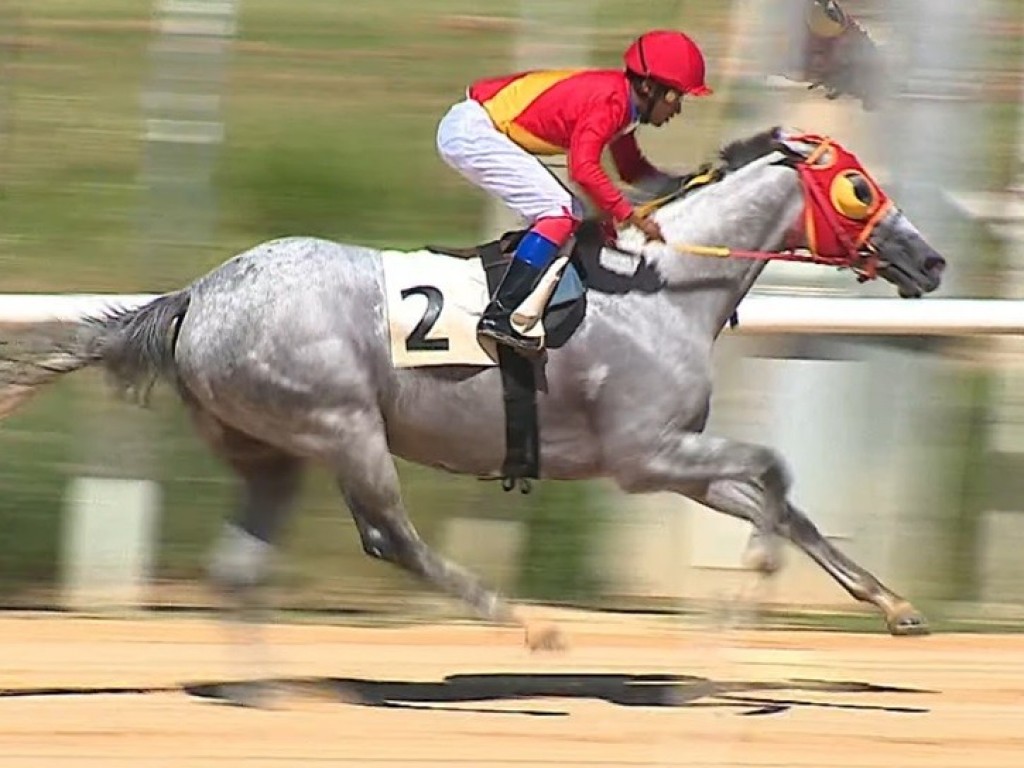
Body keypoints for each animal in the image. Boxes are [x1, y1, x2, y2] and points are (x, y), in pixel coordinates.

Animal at [0, 128, 942, 651]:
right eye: (860, 186)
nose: (930, 259)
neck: (667, 286)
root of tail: (196, 295)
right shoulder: (644, 457)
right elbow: (778, 474)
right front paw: (753, 579)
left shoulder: (679, 461)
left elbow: (790, 503)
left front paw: (894, 605)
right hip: (342, 424)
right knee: (391, 538)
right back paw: (528, 623)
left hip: (270, 449)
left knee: (241, 566)